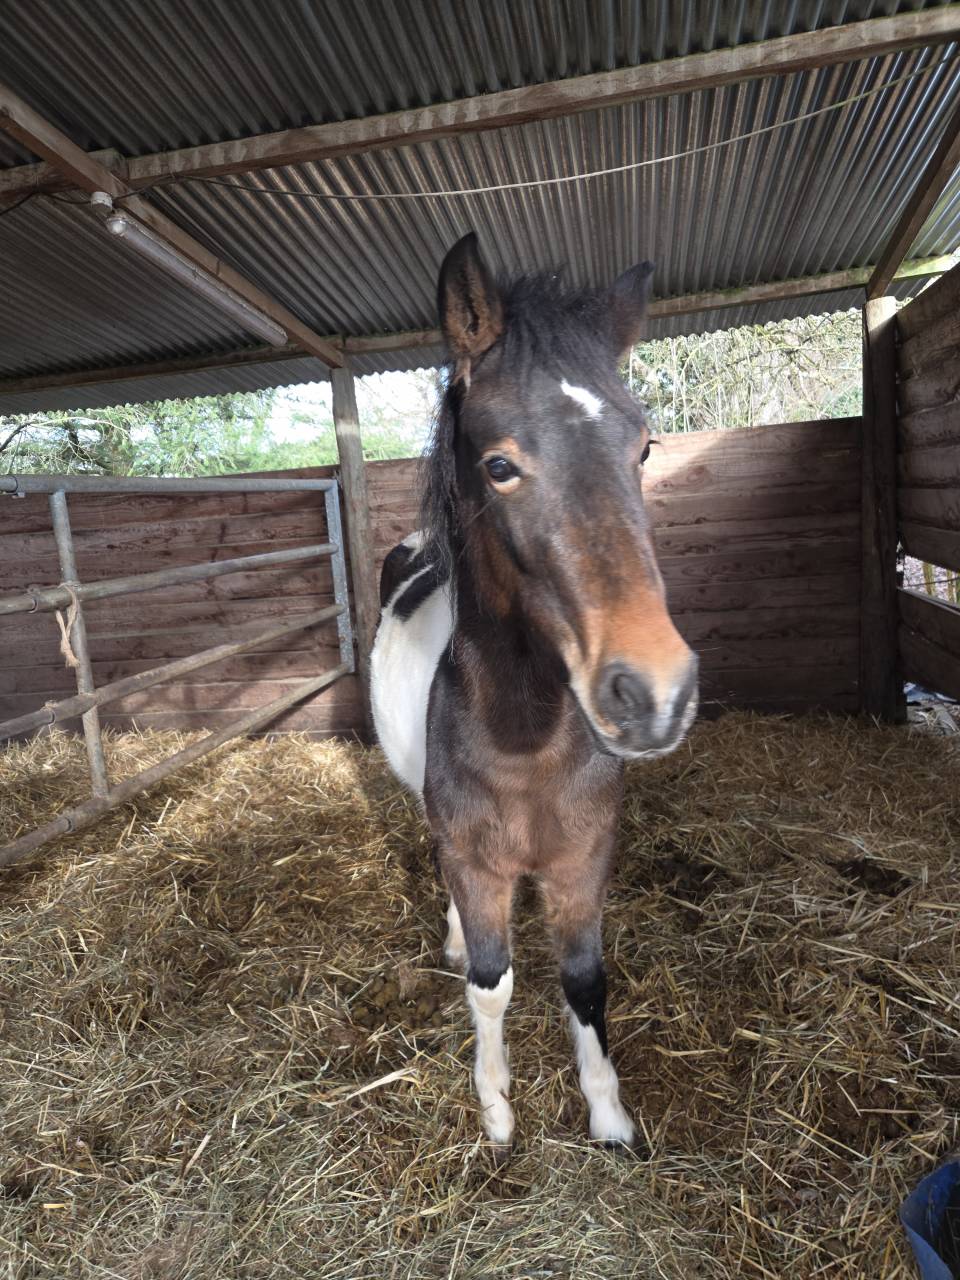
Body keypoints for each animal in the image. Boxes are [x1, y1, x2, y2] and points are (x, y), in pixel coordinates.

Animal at [370, 233, 698, 1150]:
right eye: (500, 465)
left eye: (643, 448)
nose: (654, 692)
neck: (525, 739)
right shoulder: (476, 862)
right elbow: (491, 983)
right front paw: (496, 1109)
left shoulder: (584, 860)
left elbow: (583, 980)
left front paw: (610, 1113)